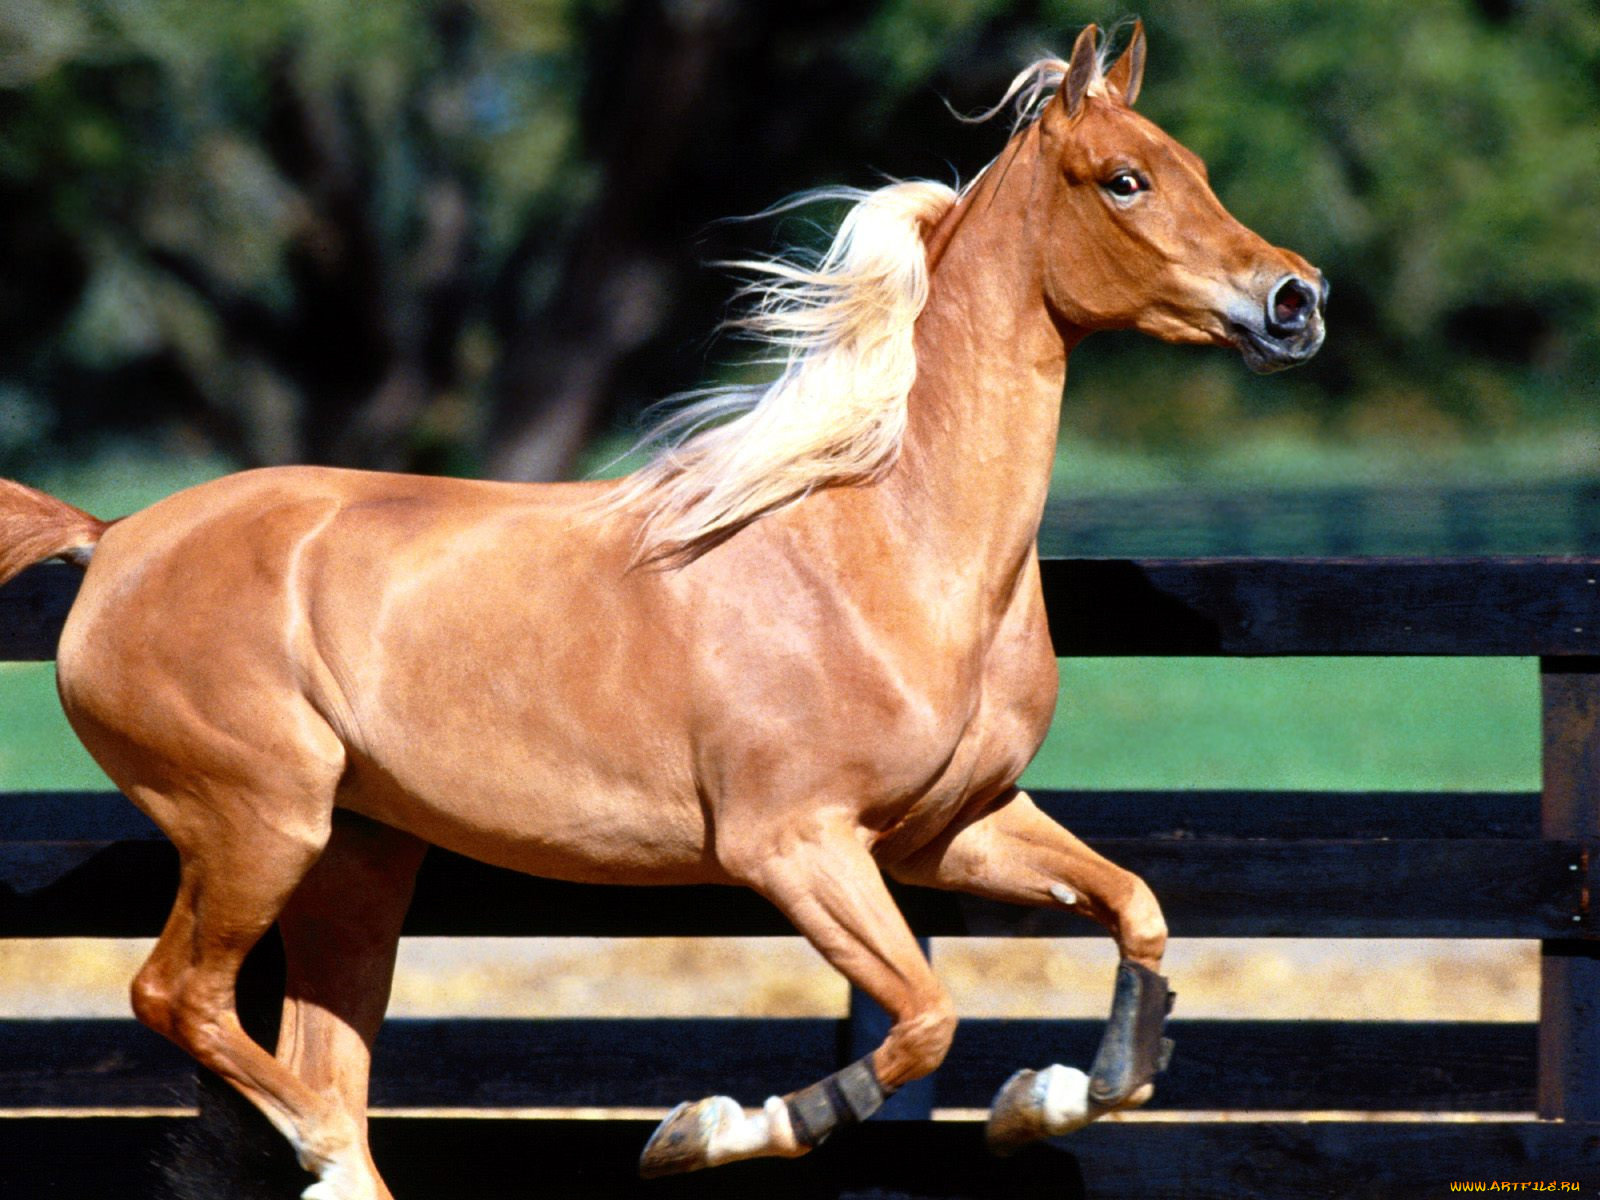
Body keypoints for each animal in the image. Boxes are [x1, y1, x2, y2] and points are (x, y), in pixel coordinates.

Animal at [0, 22, 1324, 1199]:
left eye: (1197, 166)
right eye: (1125, 179)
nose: (1294, 300)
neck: (883, 549)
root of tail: (116, 538)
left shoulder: (951, 829)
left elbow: (1136, 914)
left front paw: (1039, 1100)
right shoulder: (793, 845)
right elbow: (922, 1018)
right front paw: (705, 1131)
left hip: (359, 856)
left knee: (320, 1061)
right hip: (256, 822)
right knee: (186, 1001)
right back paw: (324, 1152)